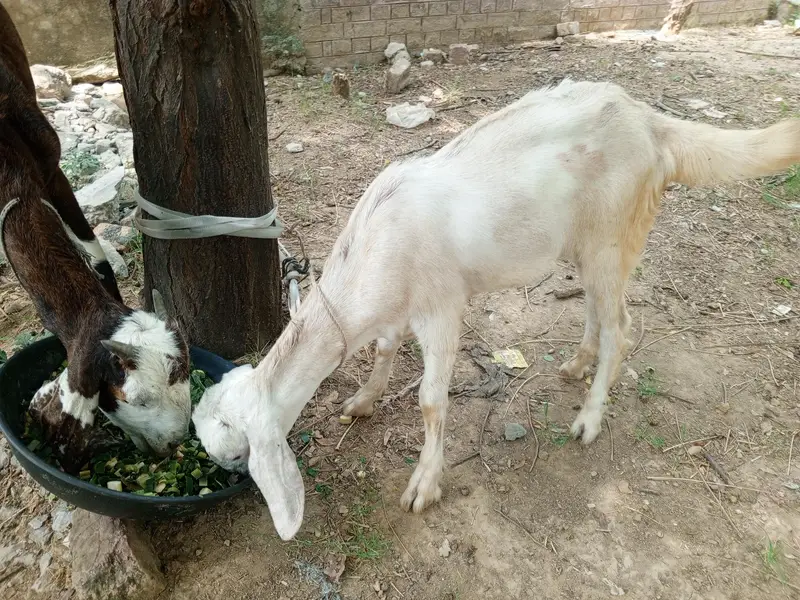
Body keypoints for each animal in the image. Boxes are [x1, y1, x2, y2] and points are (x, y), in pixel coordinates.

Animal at [193, 79, 800, 541]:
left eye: (235, 453)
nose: (219, 474)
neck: (371, 254)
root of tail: (649, 122)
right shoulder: (394, 309)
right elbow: (384, 349)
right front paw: (363, 400)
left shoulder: (441, 306)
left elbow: (431, 401)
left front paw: (424, 486)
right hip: (585, 242)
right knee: (599, 312)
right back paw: (577, 363)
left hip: (614, 230)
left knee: (622, 328)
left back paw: (589, 418)